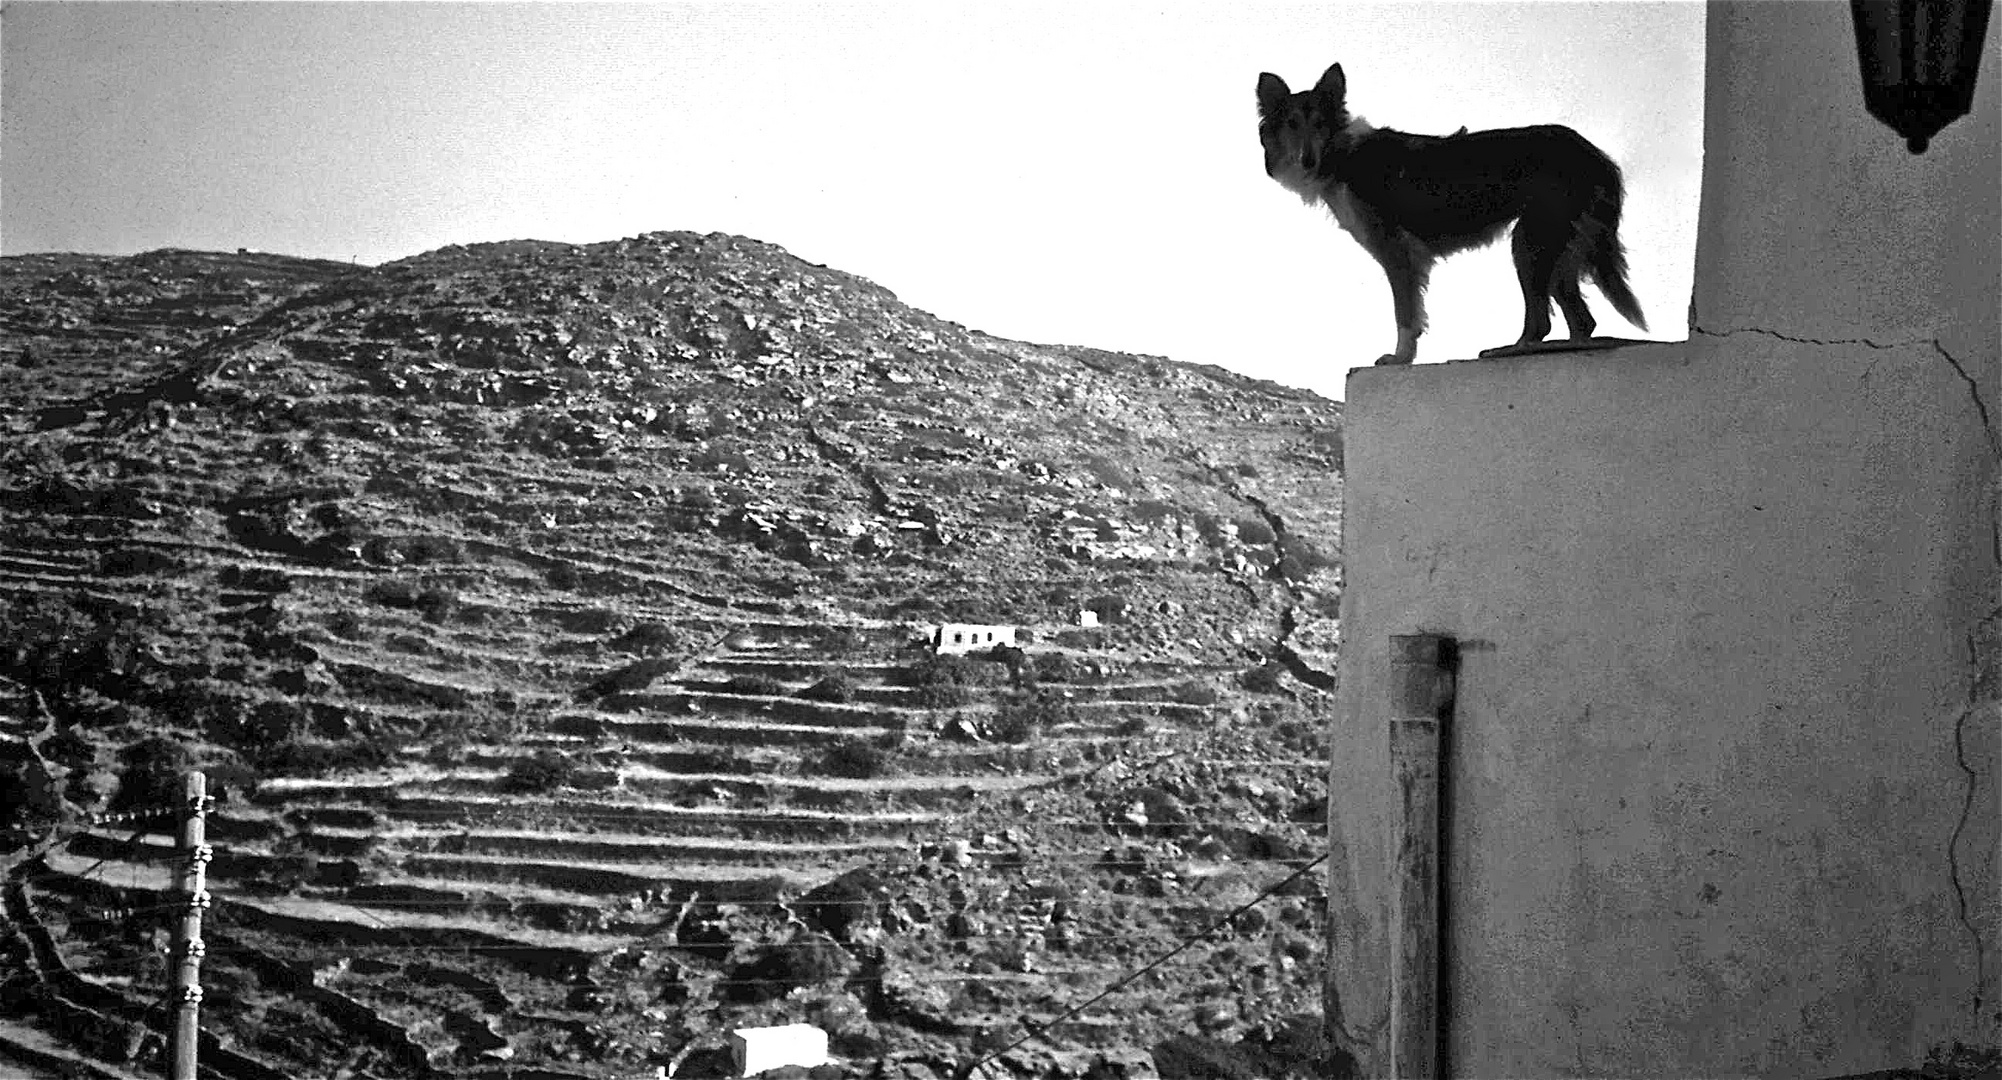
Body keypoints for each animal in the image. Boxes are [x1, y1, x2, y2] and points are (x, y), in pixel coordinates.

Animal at [1257, 64, 1649, 368]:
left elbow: (1405, 314)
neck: (1341, 155)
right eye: (1291, 123)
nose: (1307, 160)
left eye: (1319, 123)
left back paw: (1509, 351)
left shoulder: (1397, 253)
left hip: (1530, 241)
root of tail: (1593, 153)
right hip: (1557, 248)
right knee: (1582, 320)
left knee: (1541, 321)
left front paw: (1400, 358)